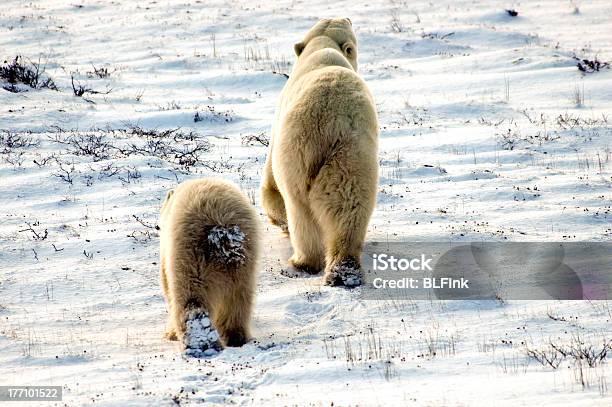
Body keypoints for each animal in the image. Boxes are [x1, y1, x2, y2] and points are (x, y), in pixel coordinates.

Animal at [159, 178, 260, 354]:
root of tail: (222, 233)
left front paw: (170, 334)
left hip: (190, 254)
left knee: (190, 297)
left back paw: (200, 343)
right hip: (244, 262)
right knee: (238, 300)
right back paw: (236, 338)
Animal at [262, 18, 378, 286]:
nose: (347, 17)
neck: (322, 48)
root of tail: (330, 121)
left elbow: (270, 189)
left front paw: (279, 222)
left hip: (295, 158)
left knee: (300, 211)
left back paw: (303, 262)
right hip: (351, 154)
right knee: (351, 205)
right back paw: (345, 271)